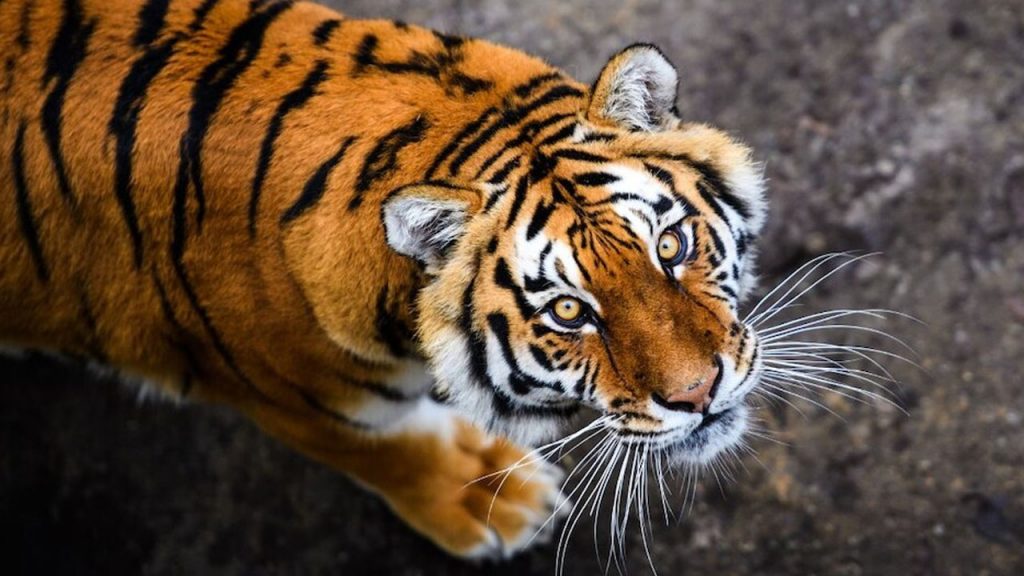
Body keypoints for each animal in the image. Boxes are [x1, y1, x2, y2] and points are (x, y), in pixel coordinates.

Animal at [0, 0, 766, 560]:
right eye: (569, 313)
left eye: (669, 245)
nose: (698, 395)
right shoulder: (290, 401)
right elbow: (391, 451)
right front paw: (494, 503)